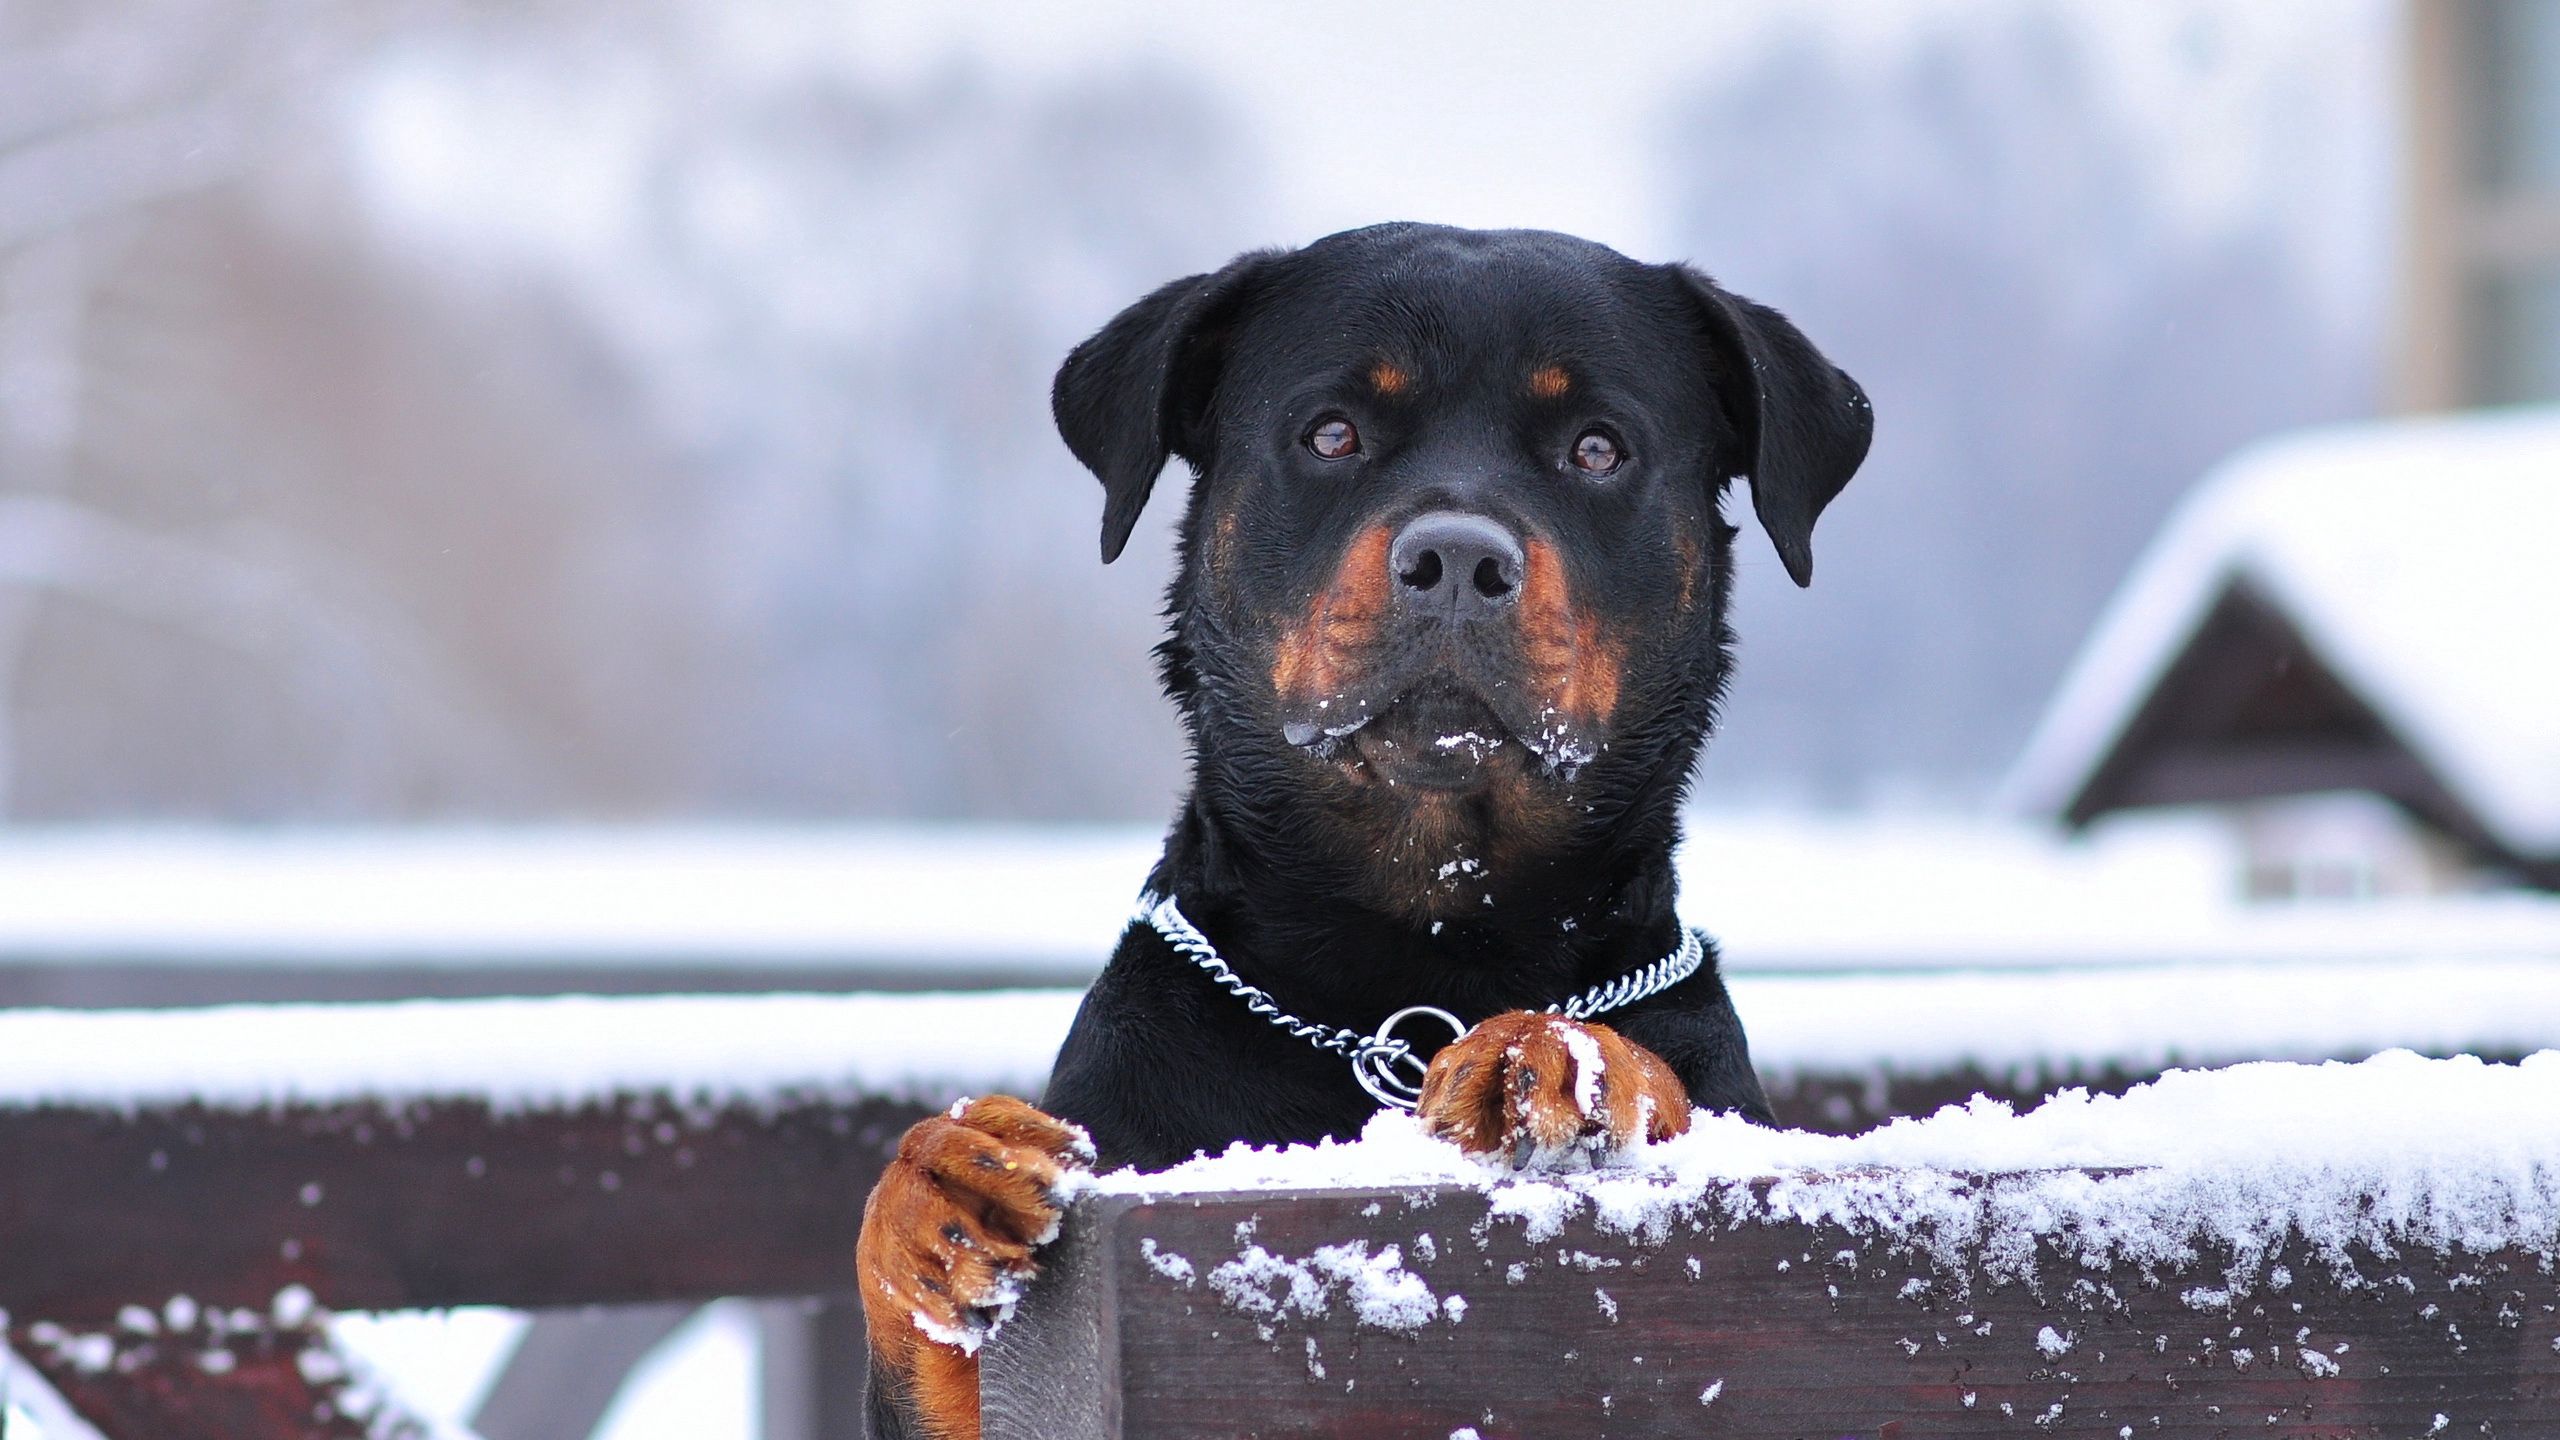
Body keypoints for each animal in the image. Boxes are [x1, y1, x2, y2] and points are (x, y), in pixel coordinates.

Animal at [849, 224, 1873, 1434]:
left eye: (1597, 448)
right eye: (1331, 432)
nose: (1458, 560)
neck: (1412, 953)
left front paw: (1559, 1056)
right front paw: (939, 1184)